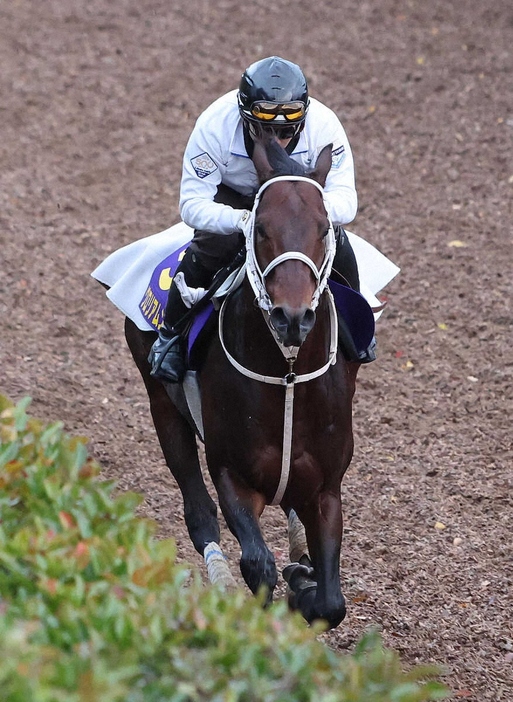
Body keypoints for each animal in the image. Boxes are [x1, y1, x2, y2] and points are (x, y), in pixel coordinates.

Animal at [125, 135, 360, 628]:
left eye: (323, 229)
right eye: (262, 229)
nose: (292, 318)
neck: (287, 375)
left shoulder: (327, 486)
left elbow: (331, 603)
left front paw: (306, 583)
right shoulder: (233, 474)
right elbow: (258, 564)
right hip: (163, 406)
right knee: (198, 511)